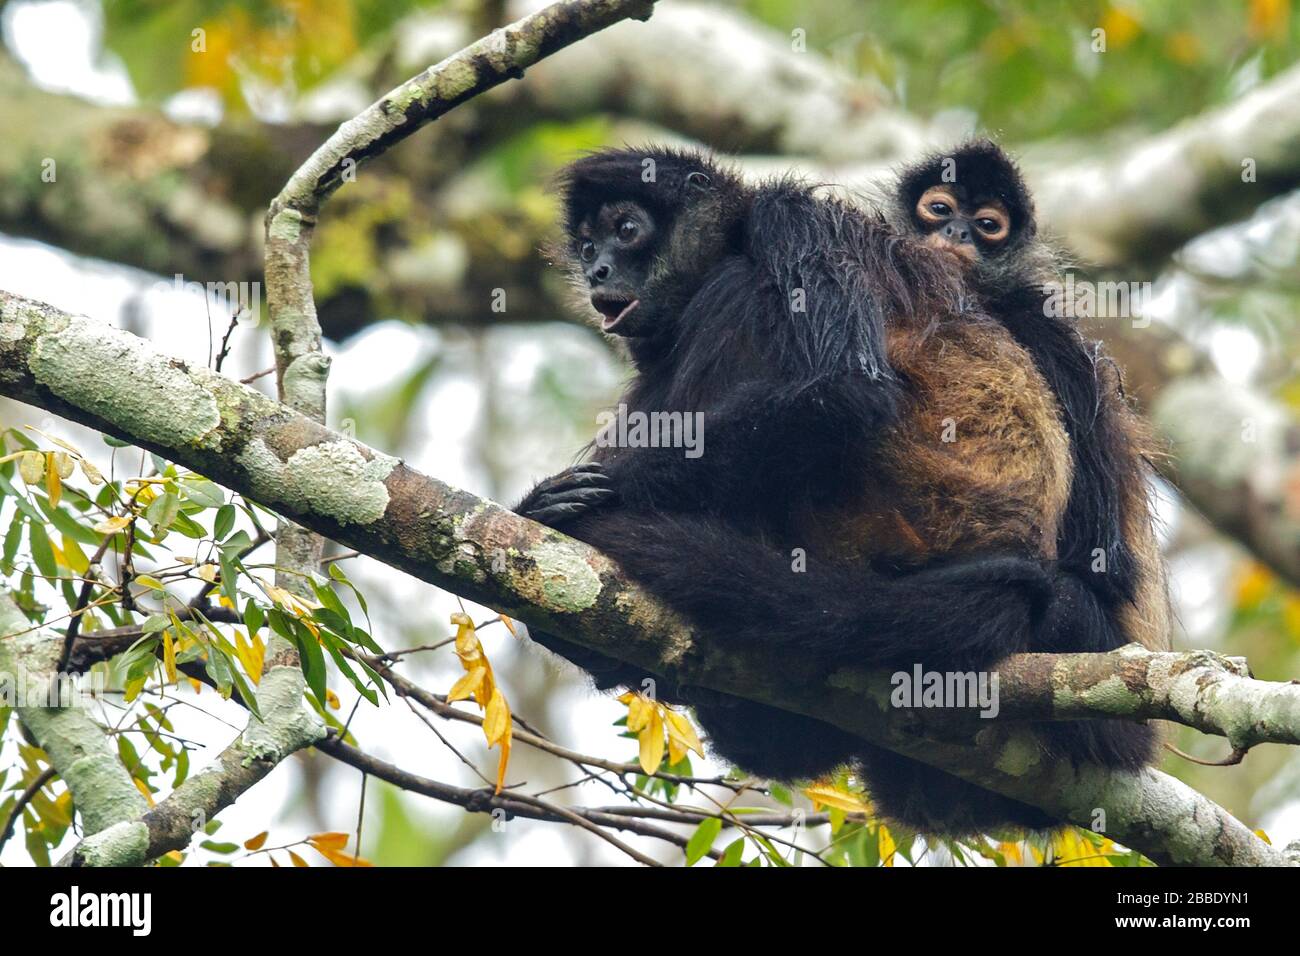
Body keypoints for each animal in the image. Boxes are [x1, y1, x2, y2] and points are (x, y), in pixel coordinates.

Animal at [514, 145, 1170, 832]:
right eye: (587, 245)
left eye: (627, 230)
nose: (599, 269)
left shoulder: (794, 221)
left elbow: (851, 392)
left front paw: (578, 498)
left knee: (738, 291)